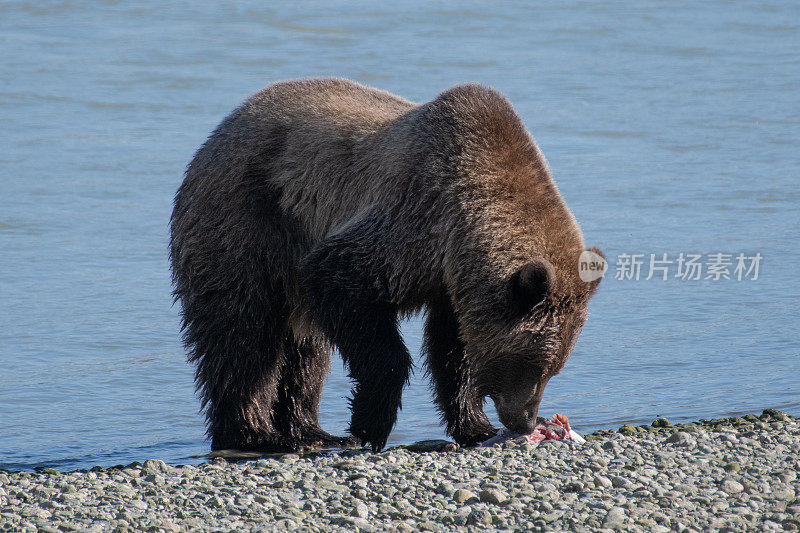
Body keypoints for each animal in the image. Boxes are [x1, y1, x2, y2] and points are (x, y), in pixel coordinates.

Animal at [170, 77, 608, 450]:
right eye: (532, 364)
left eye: (554, 368)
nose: (525, 420)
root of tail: (220, 129)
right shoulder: (412, 219)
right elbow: (344, 286)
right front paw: (369, 424)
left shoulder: (451, 283)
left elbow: (454, 349)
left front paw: (475, 425)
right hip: (248, 222)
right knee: (243, 334)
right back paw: (257, 434)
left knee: (305, 349)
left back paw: (311, 430)